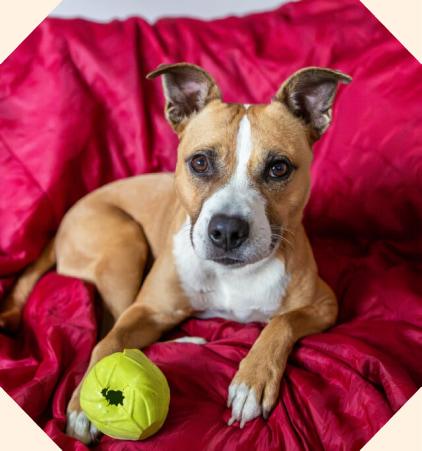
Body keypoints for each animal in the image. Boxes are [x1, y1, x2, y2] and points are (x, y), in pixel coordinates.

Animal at [0, 63, 350, 444]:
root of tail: (64, 219)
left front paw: (252, 380)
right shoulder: (147, 310)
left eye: (279, 168)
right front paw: (82, 404)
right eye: (199, 162)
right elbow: (107, 344)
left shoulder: (324, 304)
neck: (232, 274)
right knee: (108, 325)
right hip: (125, 243)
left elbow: (281, 322)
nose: (227, 230)